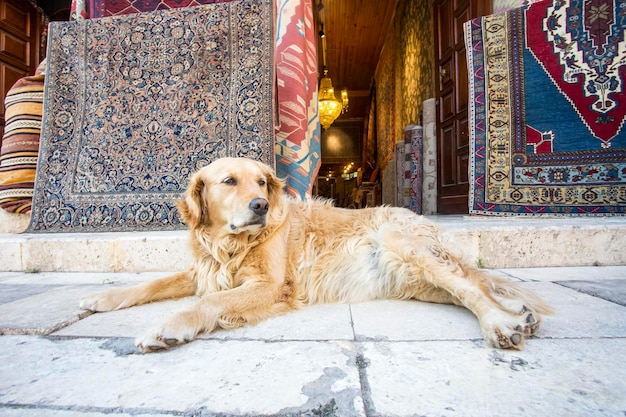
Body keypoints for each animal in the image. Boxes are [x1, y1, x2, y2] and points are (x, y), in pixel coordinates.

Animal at [79, 156, 552, 352]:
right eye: (229, 181)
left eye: (262, 182)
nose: (261, 206)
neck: (231, 245)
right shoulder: (204, 270)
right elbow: (151, 283)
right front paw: (99, 299)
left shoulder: (269, 285)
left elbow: (207, 303)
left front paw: (167, 328)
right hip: (414, 279)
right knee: (470, 285)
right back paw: (518, 313)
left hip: (404, 246)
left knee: (471, 288)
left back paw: (503, 323)